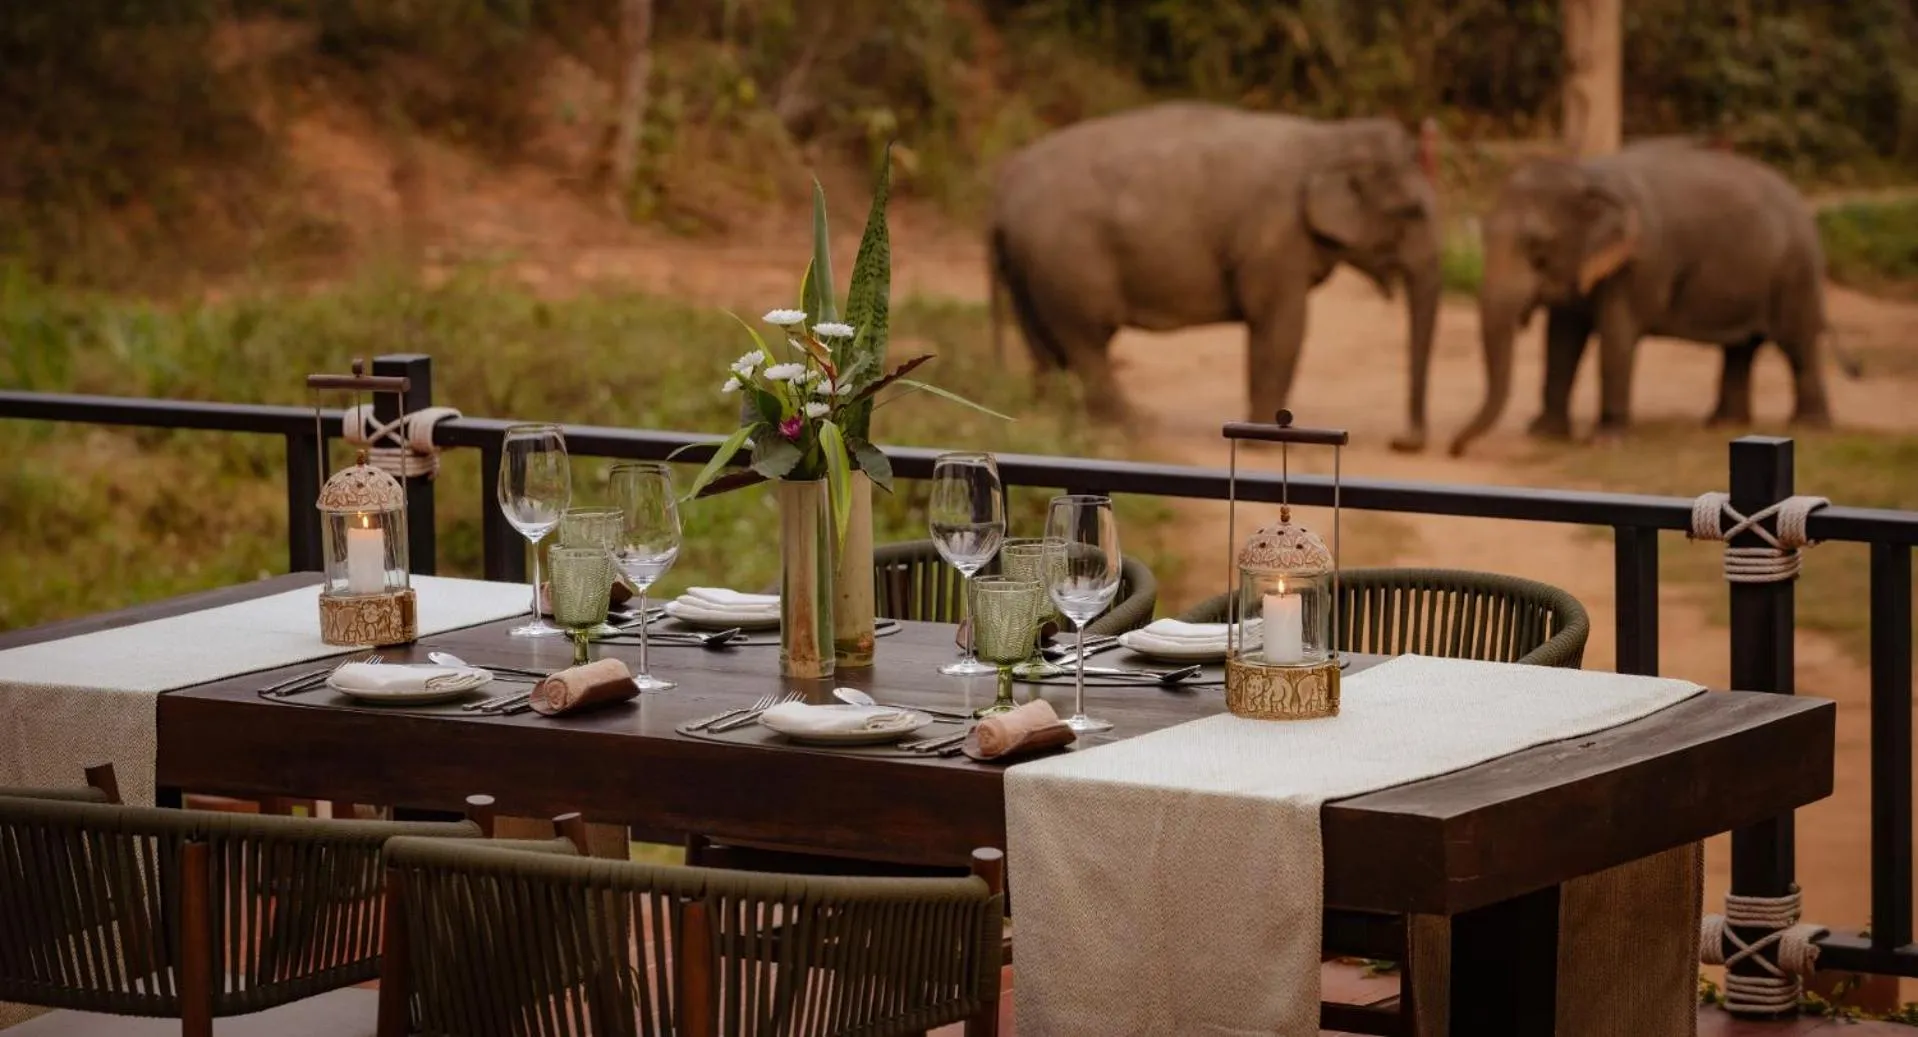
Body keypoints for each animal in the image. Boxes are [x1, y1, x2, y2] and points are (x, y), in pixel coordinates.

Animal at [988, 102, 1441, 431]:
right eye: (1412, 211)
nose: (1406, 442)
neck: (1330, 137)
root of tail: (1003, 191)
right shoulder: (1273, 239)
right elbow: (1282, 328)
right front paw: (1267, 438)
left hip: (1030, 266)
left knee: (1044, 343)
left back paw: (1051, 418)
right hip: (1067, 262)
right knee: (1087, 341)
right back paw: (1132, 425)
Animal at [1442, 138, 1836, 457]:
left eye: (1538, 249)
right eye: (1483, 235)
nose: (1454, 450)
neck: (1589, 176)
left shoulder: (1639, 262)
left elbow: (1617, 339)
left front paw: (1606, 442)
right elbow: (1561, 341)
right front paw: (1544, 433)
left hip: (1796, 269)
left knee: (1796, 342)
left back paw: (1809, 427)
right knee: (1741, 347)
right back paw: (1724, 424)